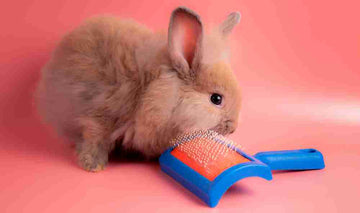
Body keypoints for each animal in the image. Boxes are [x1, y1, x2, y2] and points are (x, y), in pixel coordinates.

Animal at [35, 7, 242, 171]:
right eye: (216, 99)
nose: (232, 128)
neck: (147, 90)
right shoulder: (101, 113)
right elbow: (94, 136)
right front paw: (93, 165)